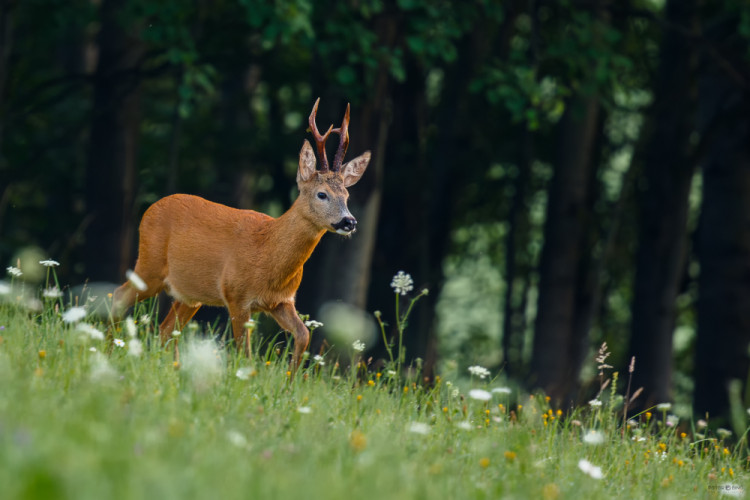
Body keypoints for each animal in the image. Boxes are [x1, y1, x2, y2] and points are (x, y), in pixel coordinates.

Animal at [111, 99, 370, 368]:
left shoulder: (281, 301)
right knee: (118, 297)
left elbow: (303, 335)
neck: (268, 254)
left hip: (190, 295)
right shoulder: (236, 296)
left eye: (346, 195)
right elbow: (245, 353)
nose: (349, 221)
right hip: (149, 265)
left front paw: (292, 376)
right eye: (322, 194)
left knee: (165, 329)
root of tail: (149, 209)